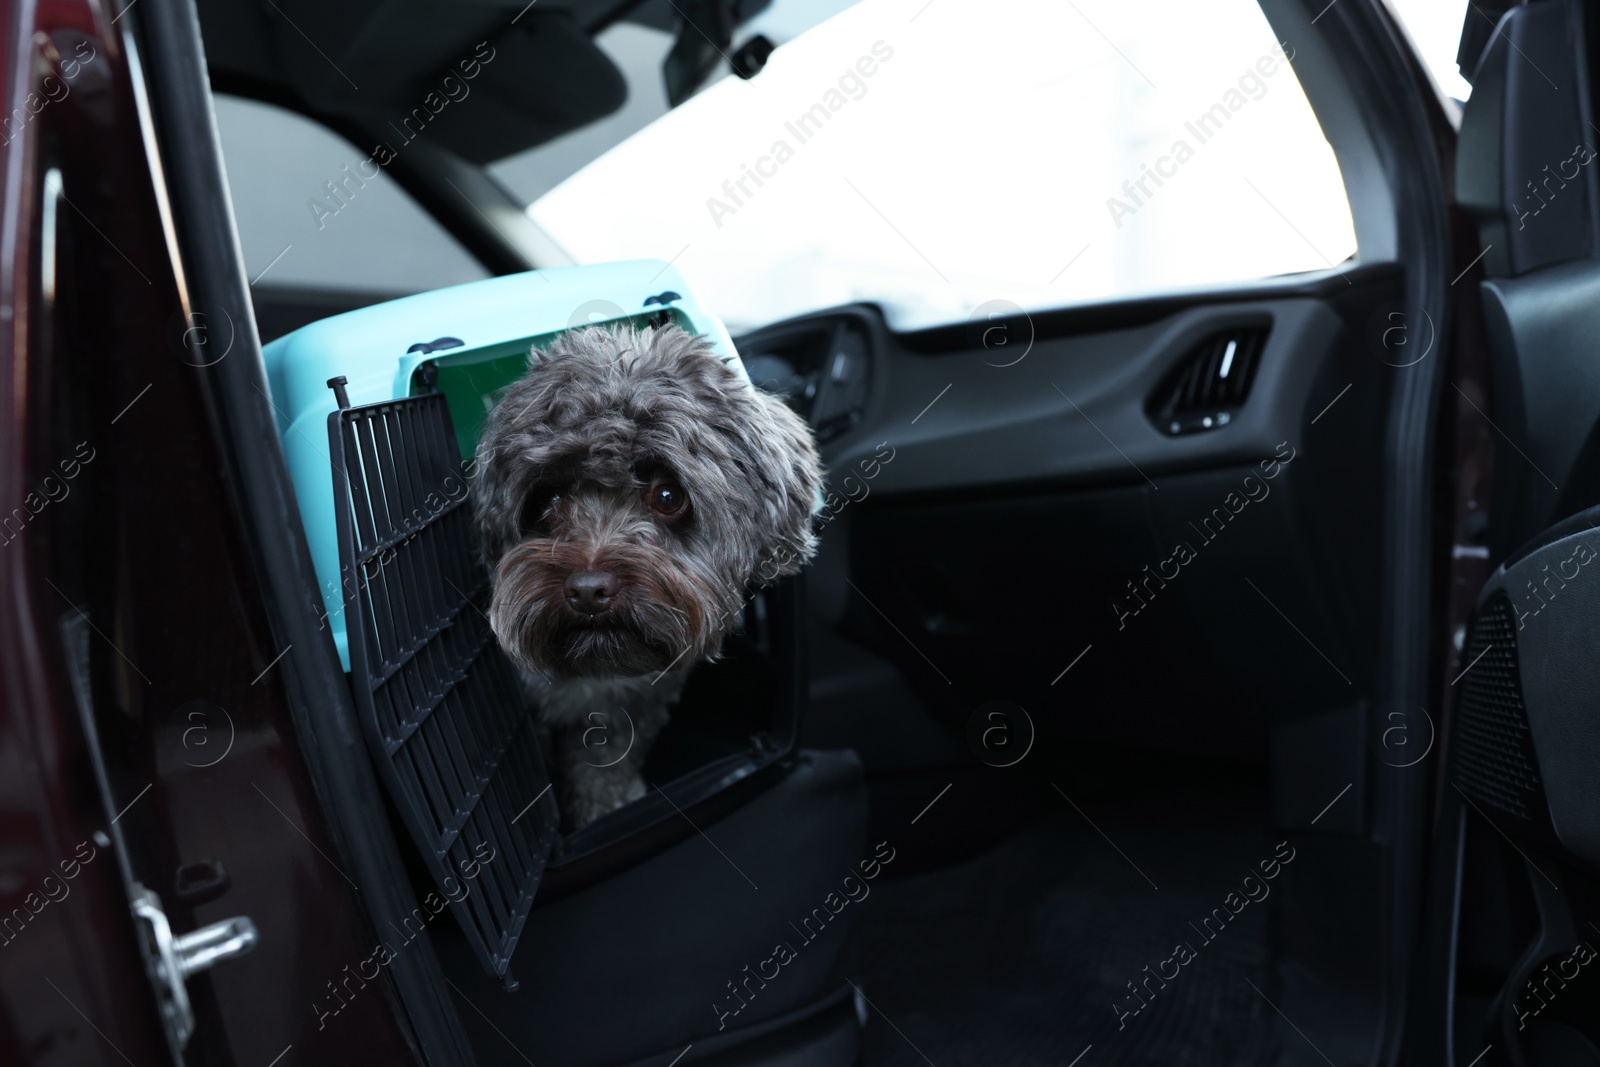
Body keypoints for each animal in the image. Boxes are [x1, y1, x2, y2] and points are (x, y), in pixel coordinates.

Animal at [470, 329, 825, 831]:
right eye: (549, 499)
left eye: (668, 495)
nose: (588, 591)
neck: (596, 674)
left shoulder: (628, 713)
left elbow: (604, 770)